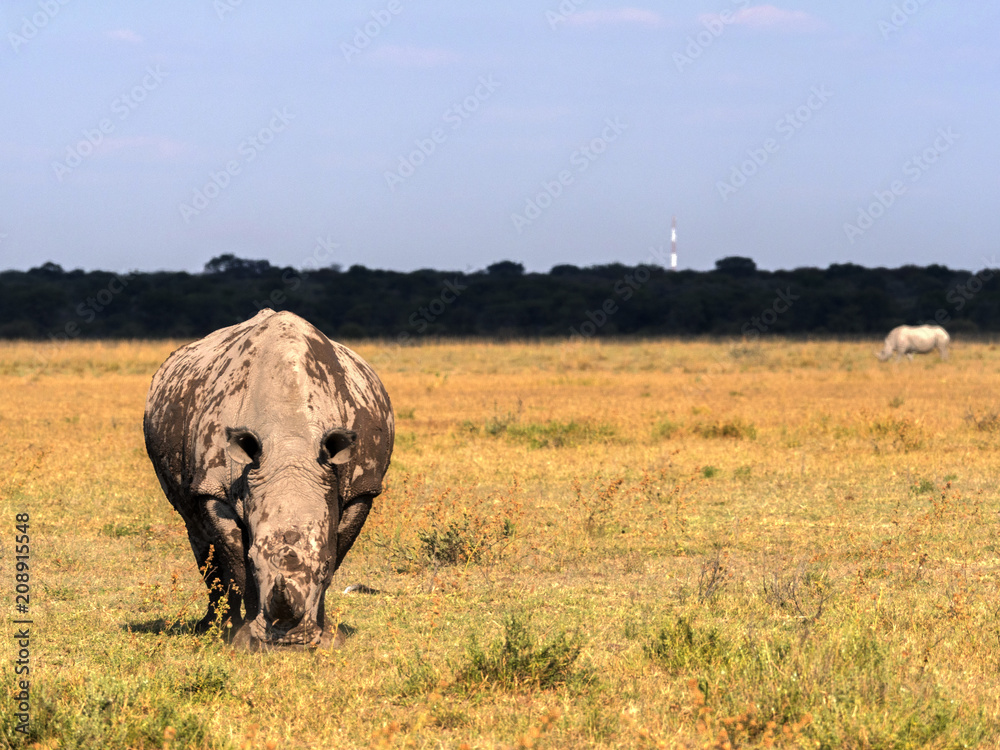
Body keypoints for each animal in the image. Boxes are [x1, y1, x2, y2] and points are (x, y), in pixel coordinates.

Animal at [143, 309, 394, 649]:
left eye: (323, 565)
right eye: (254, 561)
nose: (288, 641)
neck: (290, 452)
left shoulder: (361, 488)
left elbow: (337, 550)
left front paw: (327, 637)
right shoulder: (214, 487)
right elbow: (235, 556)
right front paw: (242, 638)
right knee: (196, 529)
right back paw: (210, 628)